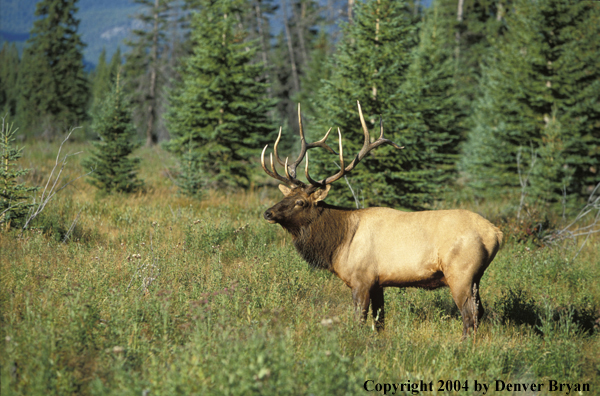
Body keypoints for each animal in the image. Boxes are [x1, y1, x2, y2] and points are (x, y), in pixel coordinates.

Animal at [262, 102, 502, 338]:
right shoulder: (378, 283)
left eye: (301, 202)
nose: (268, 213)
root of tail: (496, 233)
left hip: (461, 273)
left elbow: (359, 320)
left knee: (469, 315)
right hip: (476, 276)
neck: (338, 244)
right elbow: (380, 322)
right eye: (285, 196)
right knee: (479, 311)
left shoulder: (361, 279)